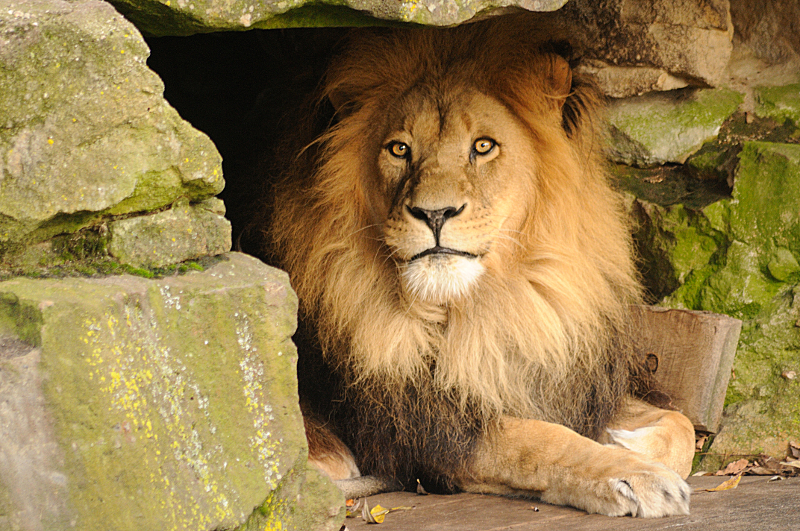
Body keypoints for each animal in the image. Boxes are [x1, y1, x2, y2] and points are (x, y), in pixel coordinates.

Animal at [266, 15, 696, 518]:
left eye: (484, 146)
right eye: (399, 149)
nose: (434, 214)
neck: (486, 308)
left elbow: (681, 423)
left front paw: (630, 444)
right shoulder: (432, 428)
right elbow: (543, 442)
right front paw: (636, 476)